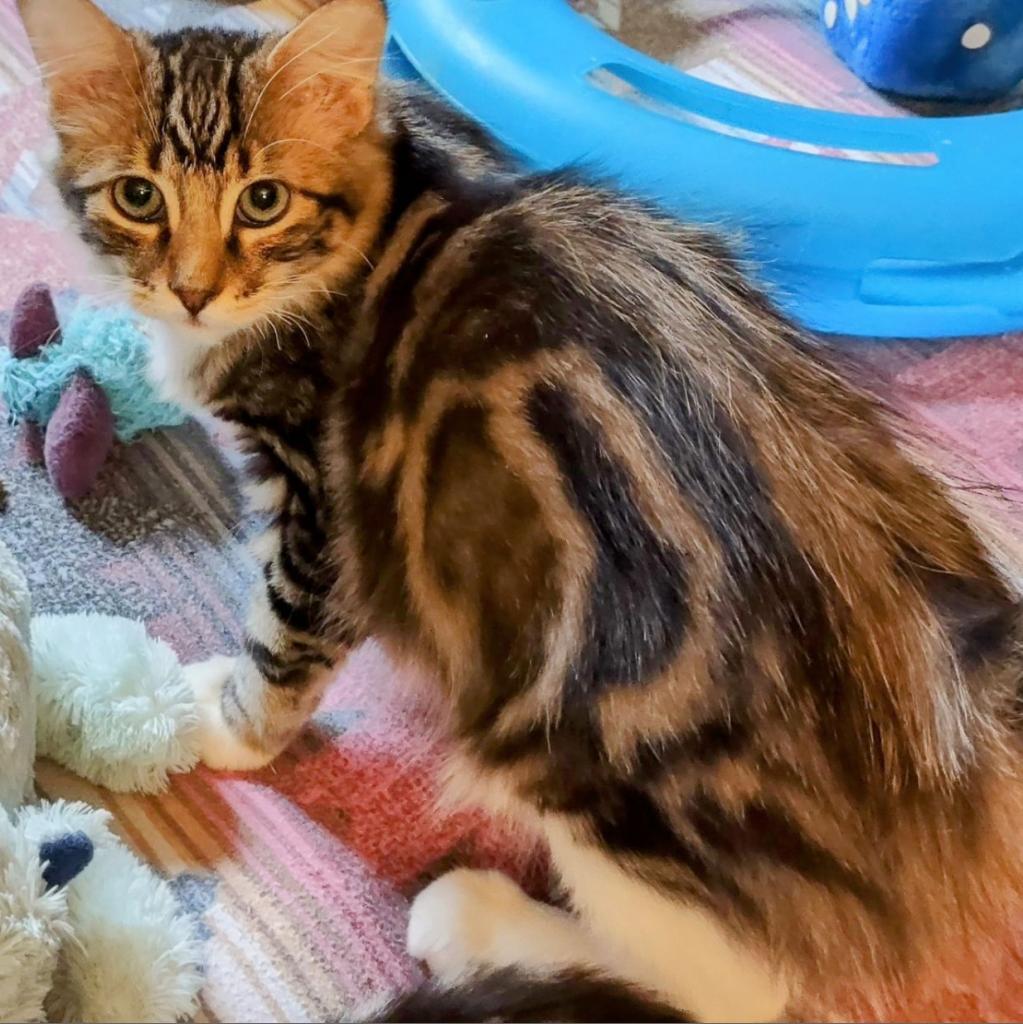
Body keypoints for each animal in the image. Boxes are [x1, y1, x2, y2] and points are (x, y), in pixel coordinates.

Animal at [19, 0, 1023, 1019]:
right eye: (138, 197)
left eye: (262, 201)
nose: (192, 290)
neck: (393, 195)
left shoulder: (324, 507)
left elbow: (283, 639)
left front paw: (227, 725)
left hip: (577, 750)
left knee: (740, 990)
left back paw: (480, 923)